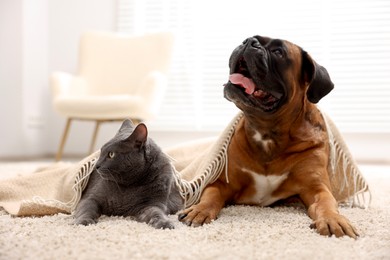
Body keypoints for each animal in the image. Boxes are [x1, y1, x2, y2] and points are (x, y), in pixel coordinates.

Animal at [178, 35, 358, 239]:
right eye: (248, 39)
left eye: (278, 52)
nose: (249, 42)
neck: (267, 131)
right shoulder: (221, 182)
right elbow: (211, 195)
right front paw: (199, 209)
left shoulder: (316, 187)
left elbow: (326, 202)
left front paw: (333, 219)